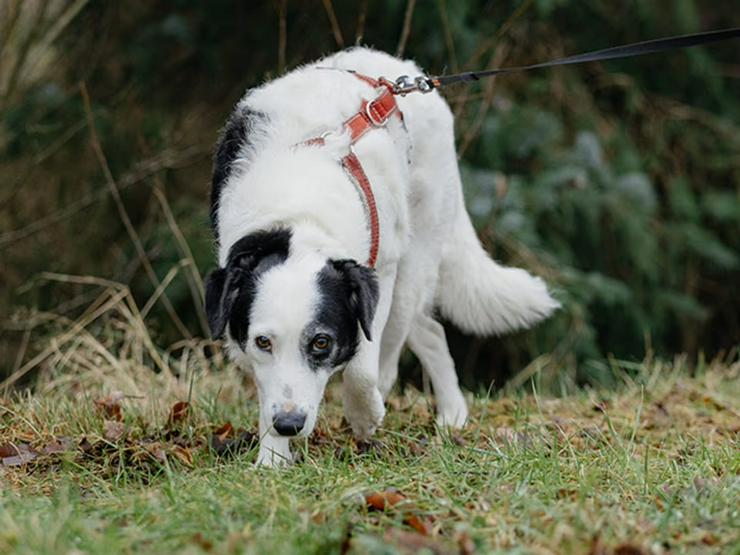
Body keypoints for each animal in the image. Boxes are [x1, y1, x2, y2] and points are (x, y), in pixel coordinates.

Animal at [205, 47, 556, 466]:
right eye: (263, 342)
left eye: (321, 343)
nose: (289, 425)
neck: (298, 214)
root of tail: (406, 71)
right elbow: (266, 388)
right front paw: (272, 459)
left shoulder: (378, 275)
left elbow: (364, 368)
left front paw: (365, 416)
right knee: (430, 330)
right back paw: (451, 413)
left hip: (412, 260)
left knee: (394, 347)